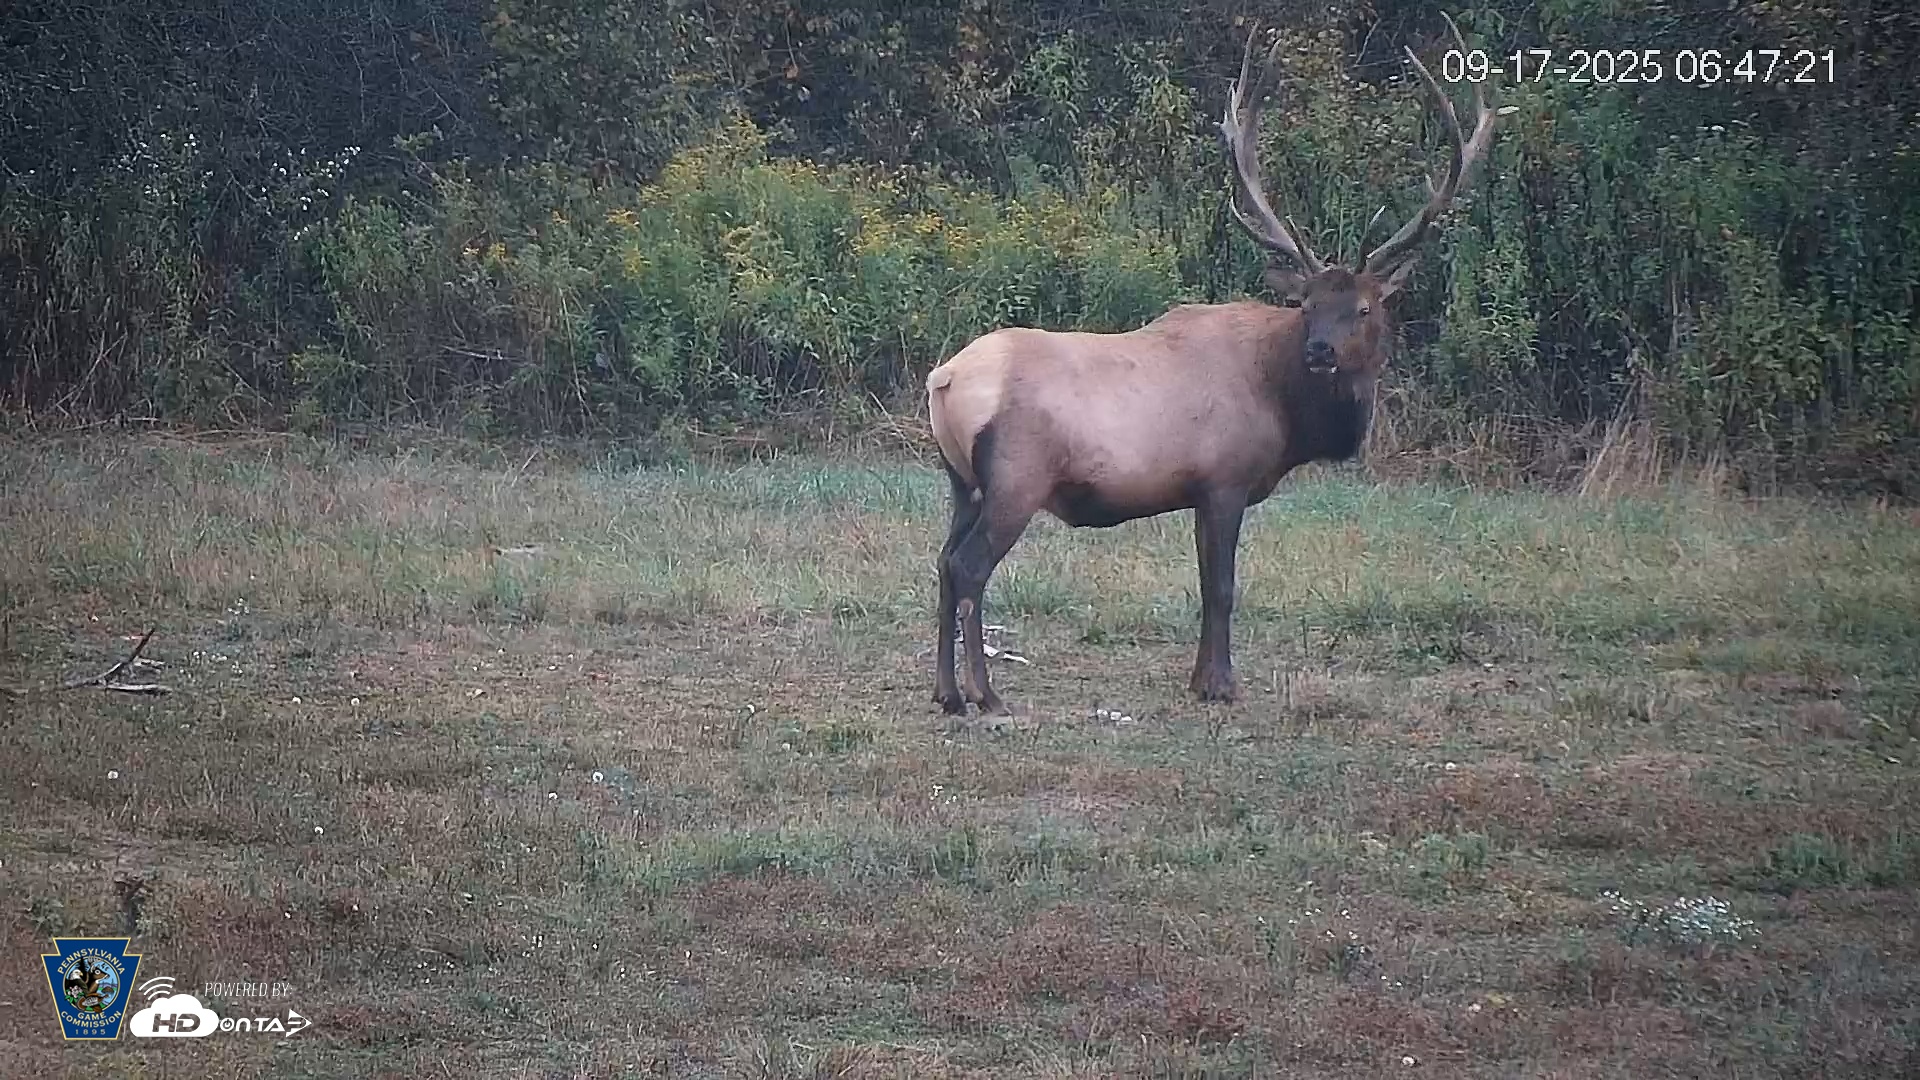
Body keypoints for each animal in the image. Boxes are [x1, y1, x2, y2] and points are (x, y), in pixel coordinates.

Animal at [925, 15, 1501, 719]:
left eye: (1362, 308)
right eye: (1308, 305)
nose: (1320, 351)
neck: (1287, 413)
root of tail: (944, 380)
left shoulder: (1203, 491)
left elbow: (1206, 586)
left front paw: (1203, 679)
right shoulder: (1224, 480)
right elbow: (1221, 586)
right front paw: (1220, 684)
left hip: (961, 480)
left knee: (943, 562)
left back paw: (946, 692)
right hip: (1015, 478)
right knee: (970, 568)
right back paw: (986, 694)